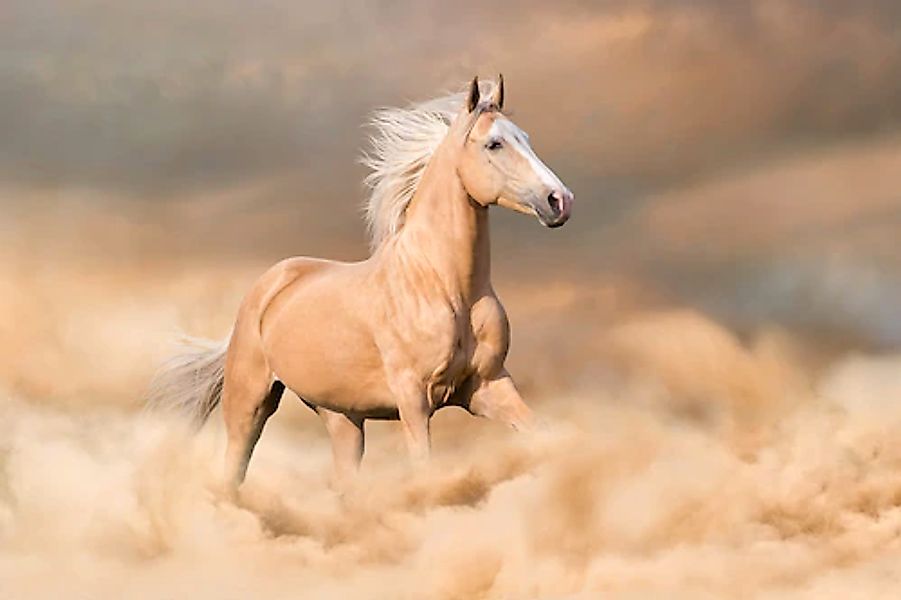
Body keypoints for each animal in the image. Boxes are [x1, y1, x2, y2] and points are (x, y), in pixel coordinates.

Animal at [147, 76, 568, 492]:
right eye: (494, 143)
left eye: (525, 137)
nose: (559, 200)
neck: (445, 287)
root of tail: (268, 286)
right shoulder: (414, 398)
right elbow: (424, 470)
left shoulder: (488, 386)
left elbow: (546, 436)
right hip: (249, 403)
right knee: (234, 470)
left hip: (340, 415)